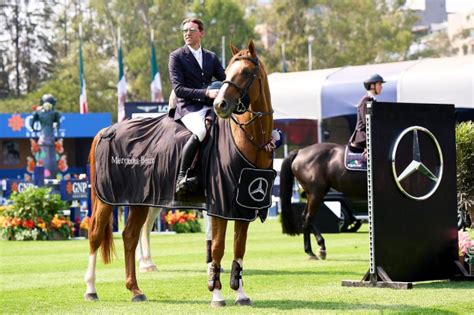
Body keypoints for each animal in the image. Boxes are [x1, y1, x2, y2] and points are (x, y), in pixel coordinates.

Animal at [83, 40, 272, 308]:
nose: (220, 105)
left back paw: (135, 289)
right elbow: (217, 248)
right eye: (228, 72)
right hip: (106, 200)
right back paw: (91, 289)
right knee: (96, 236)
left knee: (130, 236)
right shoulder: (220, 204)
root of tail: (106, 131)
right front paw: (216, 295)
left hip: (140, 199)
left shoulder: (242, 205)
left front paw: (241, 294)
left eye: (245, 72)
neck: (247, 139)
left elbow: (239, 248)